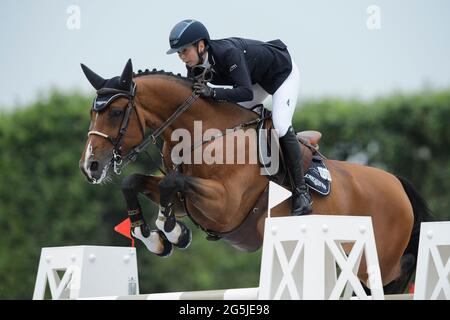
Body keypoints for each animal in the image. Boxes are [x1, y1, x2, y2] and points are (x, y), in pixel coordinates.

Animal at [79, 60, 430, 296]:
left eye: (115, 112)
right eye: (92, 113)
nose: (90, 167)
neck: (203, 133)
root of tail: (397, 184)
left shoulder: (225, 206)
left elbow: (171, 184)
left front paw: (171, 231)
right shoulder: (187, 200)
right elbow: (137, 183)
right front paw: (154, 236)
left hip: (375, 263)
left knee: (396, 272)